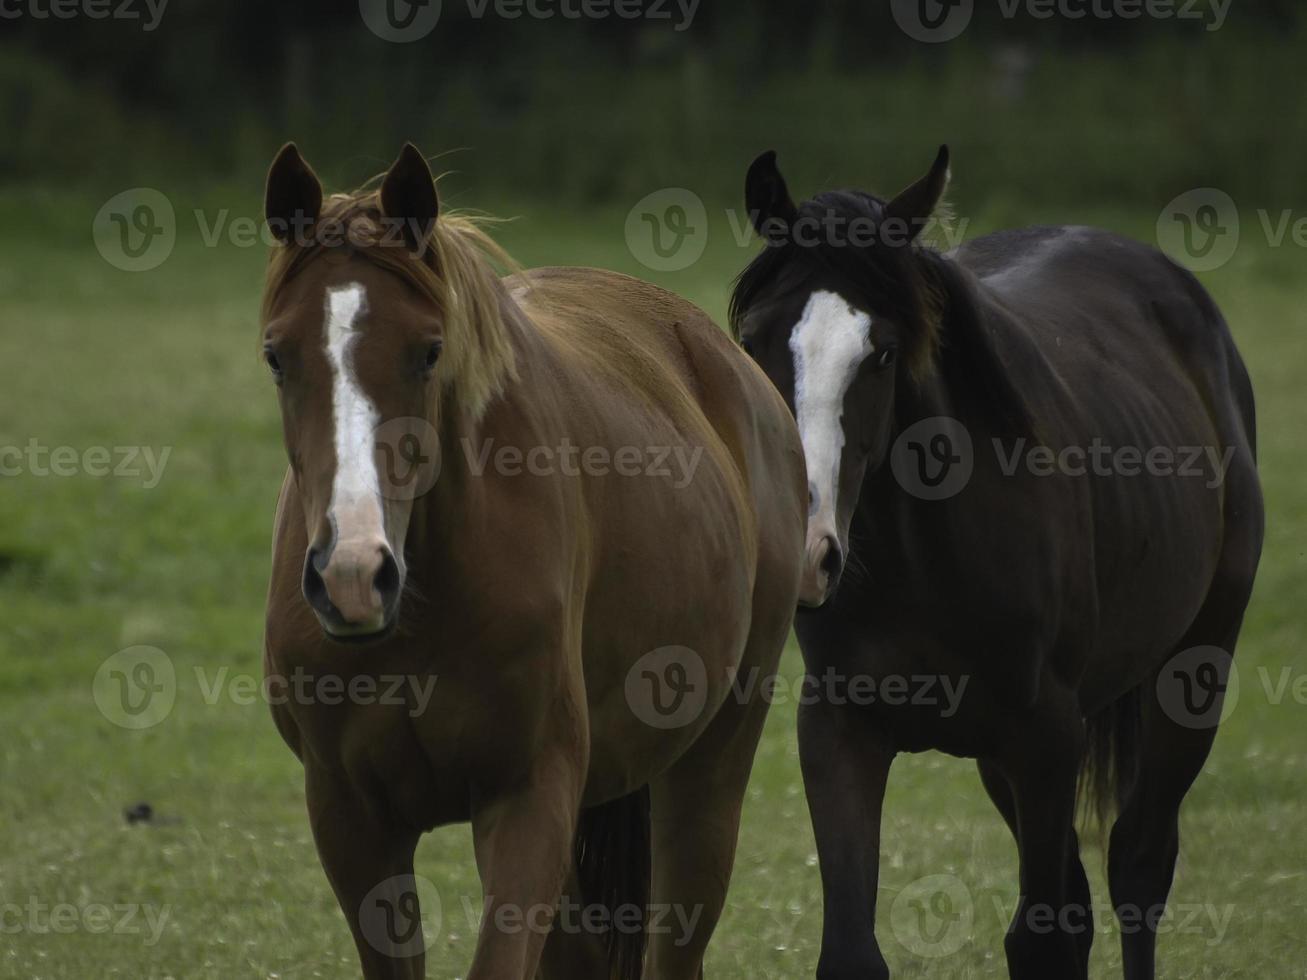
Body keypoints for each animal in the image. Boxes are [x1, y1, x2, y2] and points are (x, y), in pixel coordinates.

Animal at [257, 141, 805, 977]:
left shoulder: (527, 799)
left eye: (429, 351)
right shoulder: (350, 819)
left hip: (710, 770)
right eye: (276, 356)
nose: (353, 575)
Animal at [731, 147, 1259, 980]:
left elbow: (1040, 938)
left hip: (1191, 673)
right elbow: (851, 948)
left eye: (881, 352)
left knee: (1137, 868)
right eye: (754, 339)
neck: (926, 557)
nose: (809, 549)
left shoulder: (1045, 735)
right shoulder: (840, 729)